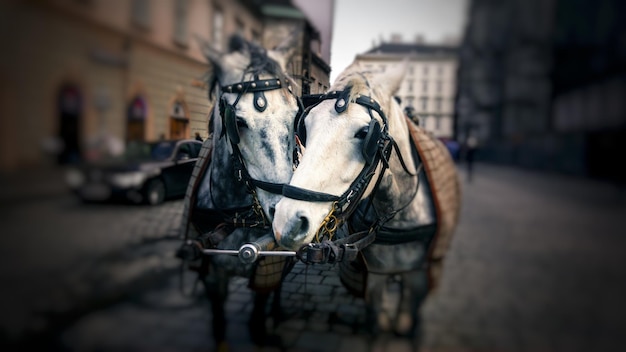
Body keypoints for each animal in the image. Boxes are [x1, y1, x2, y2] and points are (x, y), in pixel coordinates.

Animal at [178, 34, 300, 350]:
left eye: (296, 115)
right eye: (239, 122)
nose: (285, 217)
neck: (236, 216)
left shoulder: (267, 268)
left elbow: (257, 320)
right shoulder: (212, 275)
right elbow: (219, 323)